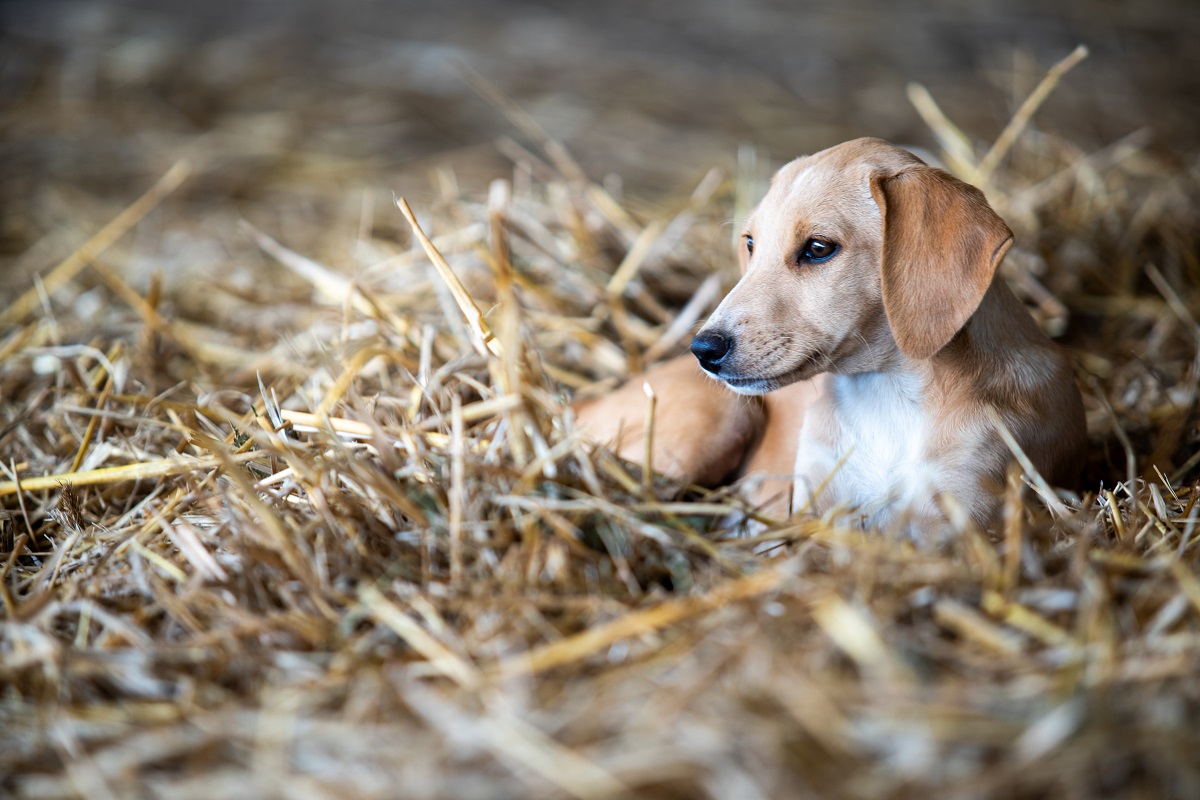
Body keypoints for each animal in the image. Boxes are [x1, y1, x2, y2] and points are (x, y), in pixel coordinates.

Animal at [571, 139, 1089, 532]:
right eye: (751, 244)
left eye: (818, 248)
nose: (703, 349)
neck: (887, 394)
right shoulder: (811, 512)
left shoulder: (959, 516)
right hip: (717, 418)